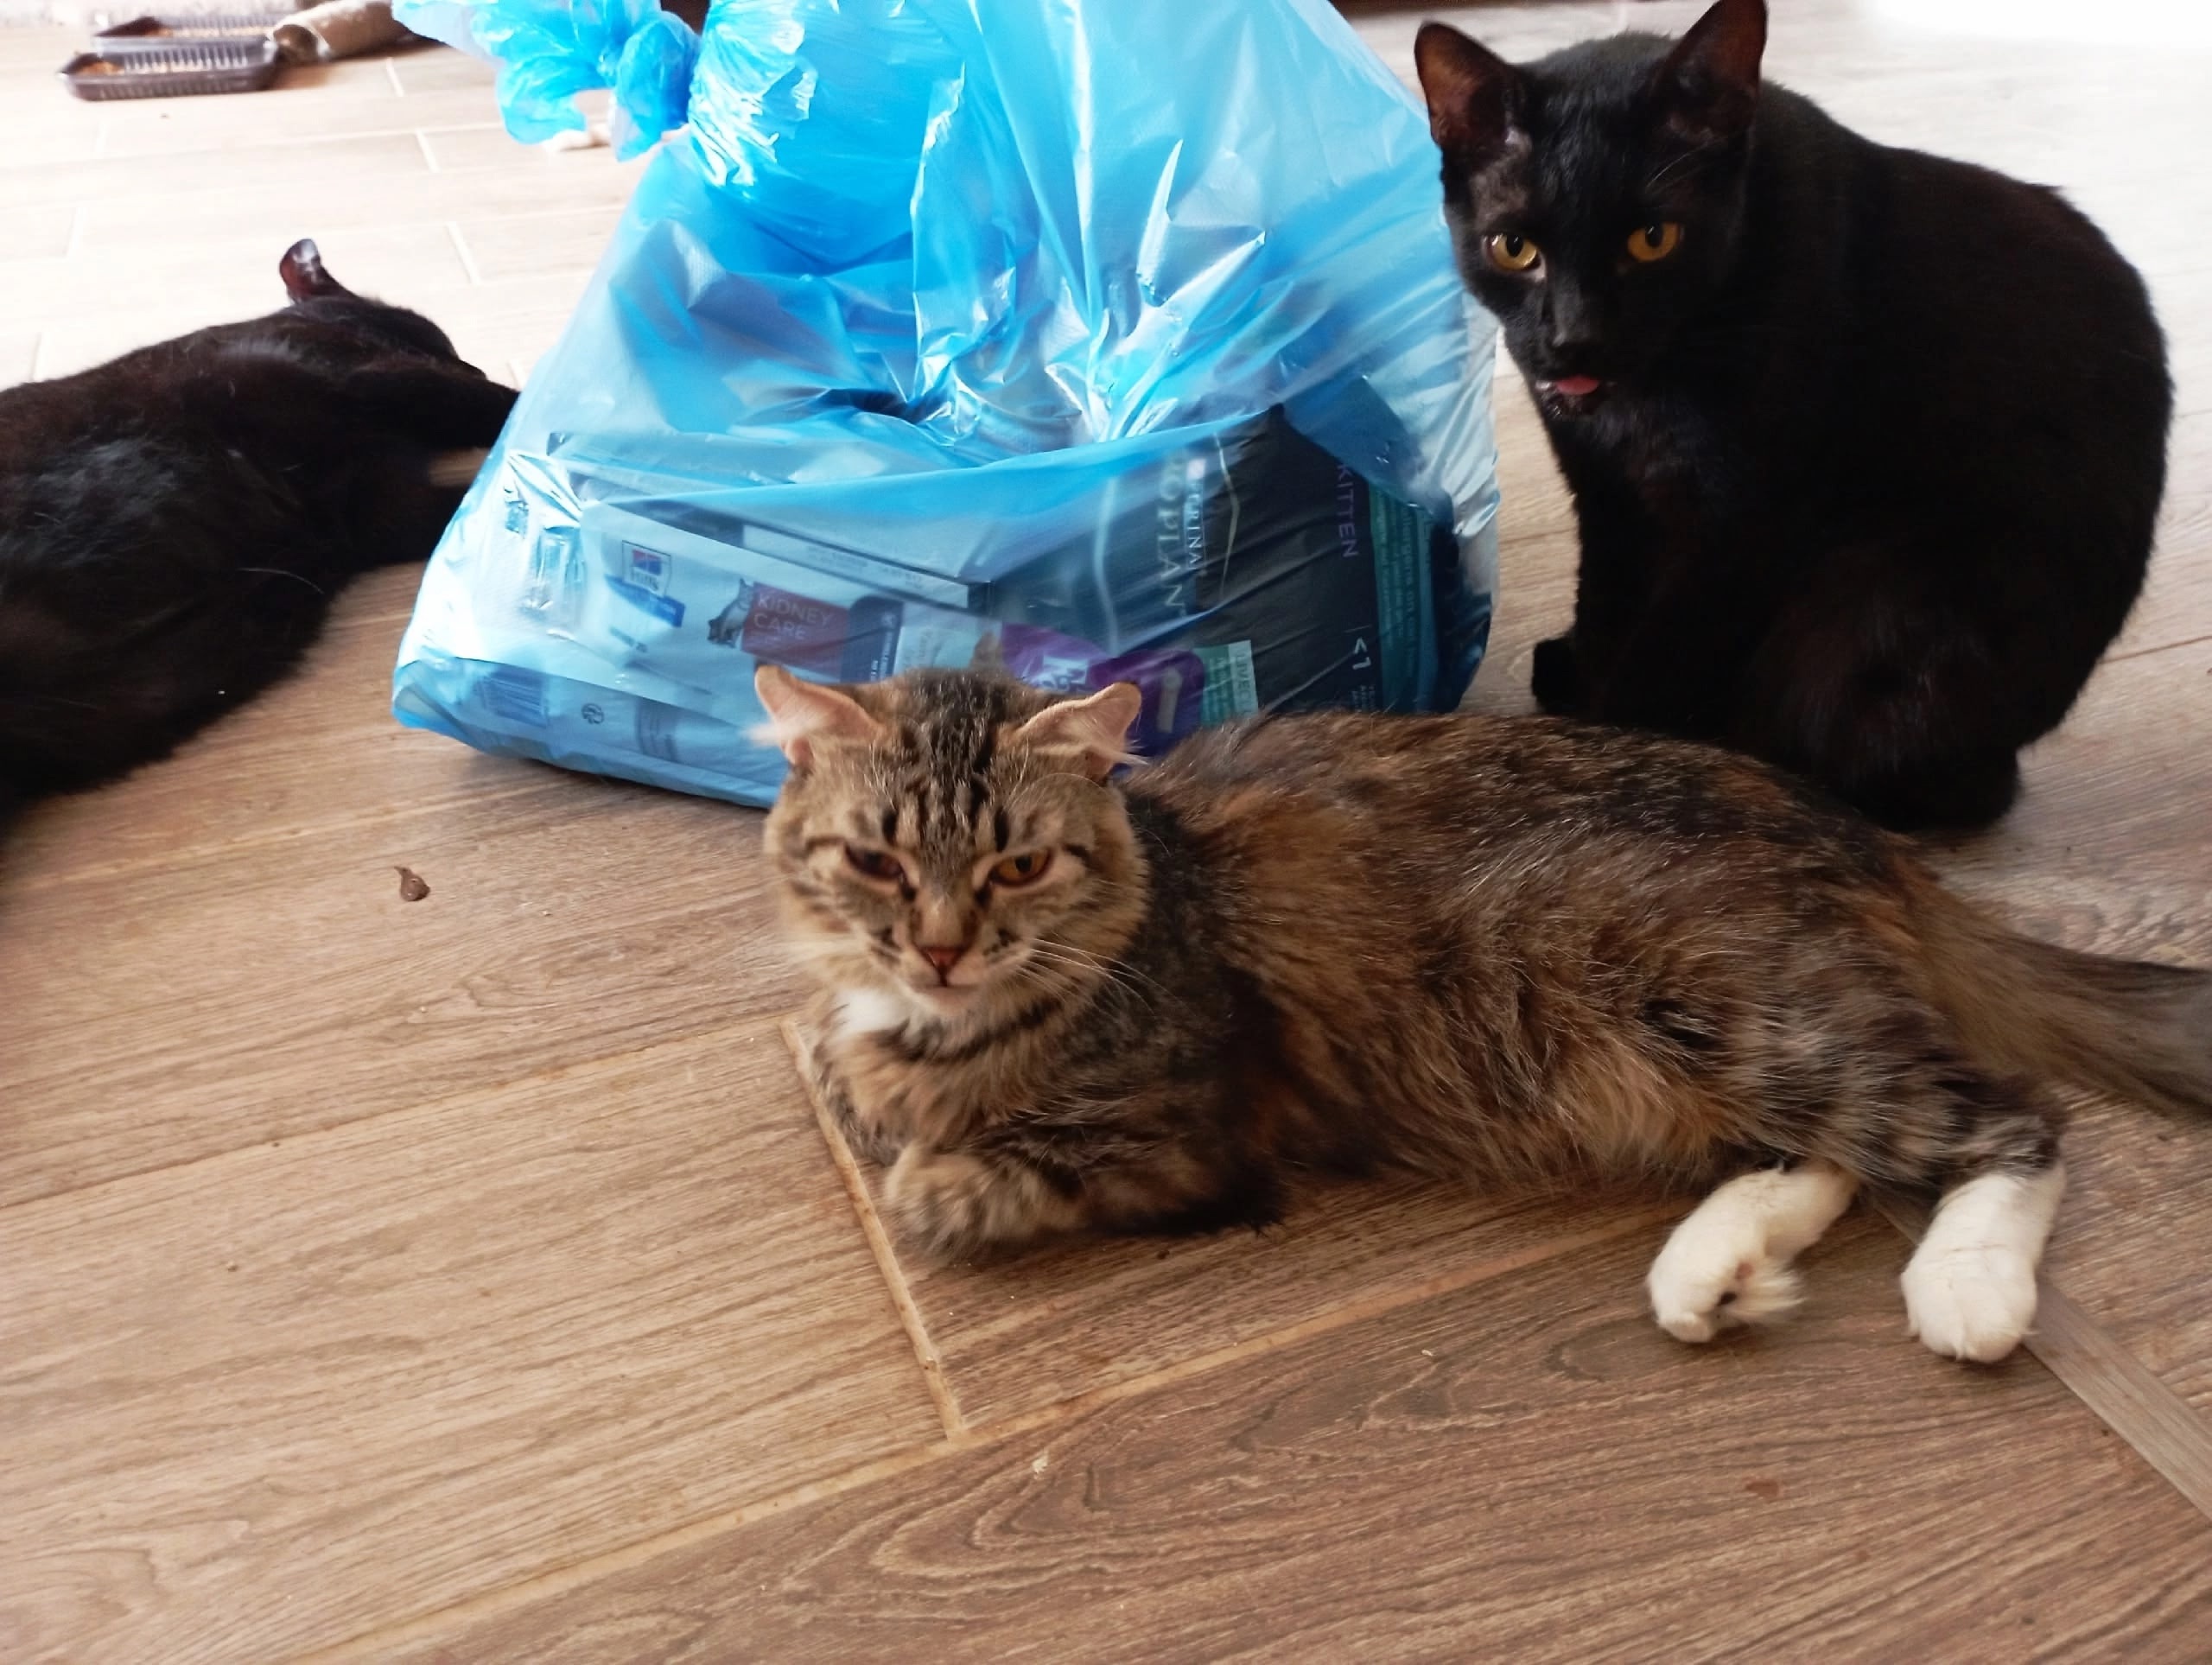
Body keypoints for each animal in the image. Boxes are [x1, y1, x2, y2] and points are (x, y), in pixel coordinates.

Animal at [0, 239, 517, 827]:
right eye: (435, 338)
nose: (472, 362)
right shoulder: (367, 377)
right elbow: (492, 404)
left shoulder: (380, 507)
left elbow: (453, 505)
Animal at [759, 665, 2212, 1363]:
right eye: (877, 861)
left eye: (1015, 866)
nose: (941, 947)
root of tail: (1861, 835)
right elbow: (851, 1085)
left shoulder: (1191, 1134)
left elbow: (939, 1178)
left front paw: (932, 1163)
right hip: (1727, 1042)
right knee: (1834, 1156)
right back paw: (1713, 1268)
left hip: (1720, 1011)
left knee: (2016, 1117)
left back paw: (1965, 1287)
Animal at [1414, 0, 2171, 831]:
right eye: (1514, 247)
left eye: (1653, 239)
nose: (1574, 340)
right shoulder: (1608, 494)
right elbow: (1607, 600)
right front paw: (1587, 688)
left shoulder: (1741, 525)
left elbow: (1663, 656)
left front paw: (1620, 748)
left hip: (1887, 604)